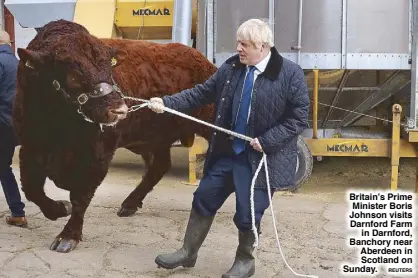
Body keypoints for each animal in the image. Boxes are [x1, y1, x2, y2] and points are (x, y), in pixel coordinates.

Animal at [13, 19, 216, 253]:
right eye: (72, 76)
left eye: (109, 68)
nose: (119, 110)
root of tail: (200, 59)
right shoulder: (30, 147)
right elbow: (31, 189)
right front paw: (59, 208)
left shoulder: (98, 156)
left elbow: (80, 197)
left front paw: (68, 236)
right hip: (154, 139)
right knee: (159, 165)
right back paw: (129, 204)